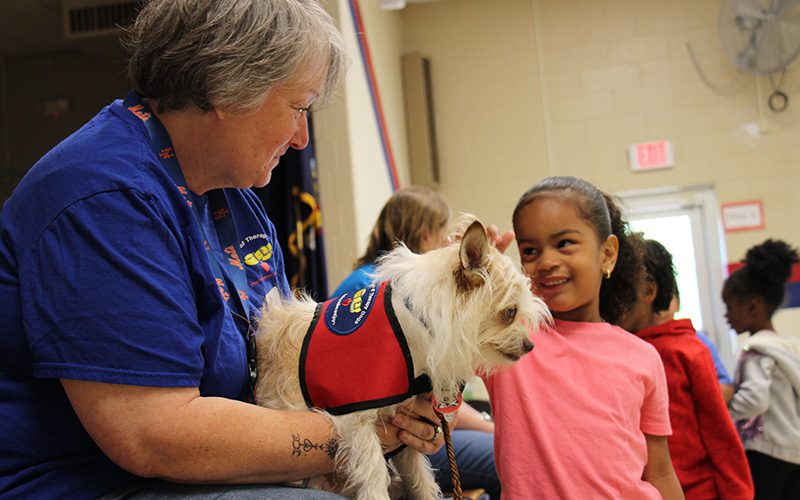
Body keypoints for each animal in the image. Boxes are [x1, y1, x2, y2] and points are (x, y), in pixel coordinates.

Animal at [256, 222, 552, 500]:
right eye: (510, 312)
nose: (530, 346)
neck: (415, 325)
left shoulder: (403, 432)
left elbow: (419, 478)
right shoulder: (356, 419)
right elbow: (374, 469)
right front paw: (376, 493)